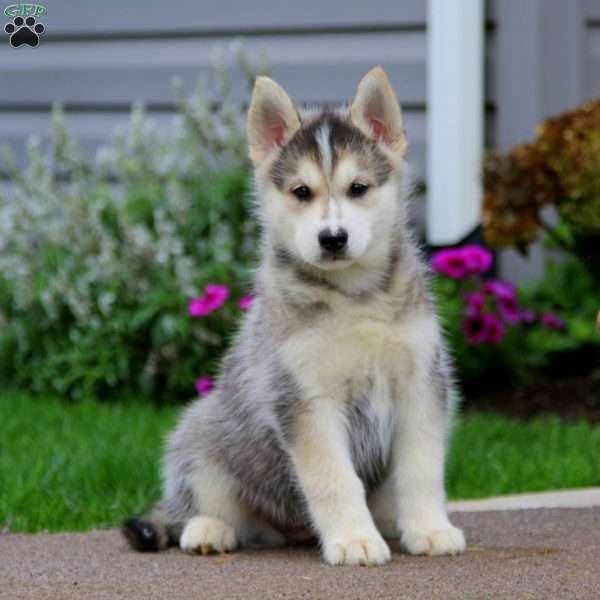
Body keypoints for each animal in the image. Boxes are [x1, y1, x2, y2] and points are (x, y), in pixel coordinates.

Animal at [122, 68, 466, 564]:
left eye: (358, 188)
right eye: (302, 192)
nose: (333, 238)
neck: (354, 297)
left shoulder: (421, 385)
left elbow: (421, 469)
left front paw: (431, 529)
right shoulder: (304, 400)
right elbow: (333, 478)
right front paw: (354, 540)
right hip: (202, 433)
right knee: (196, 502)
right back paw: (208, 530)